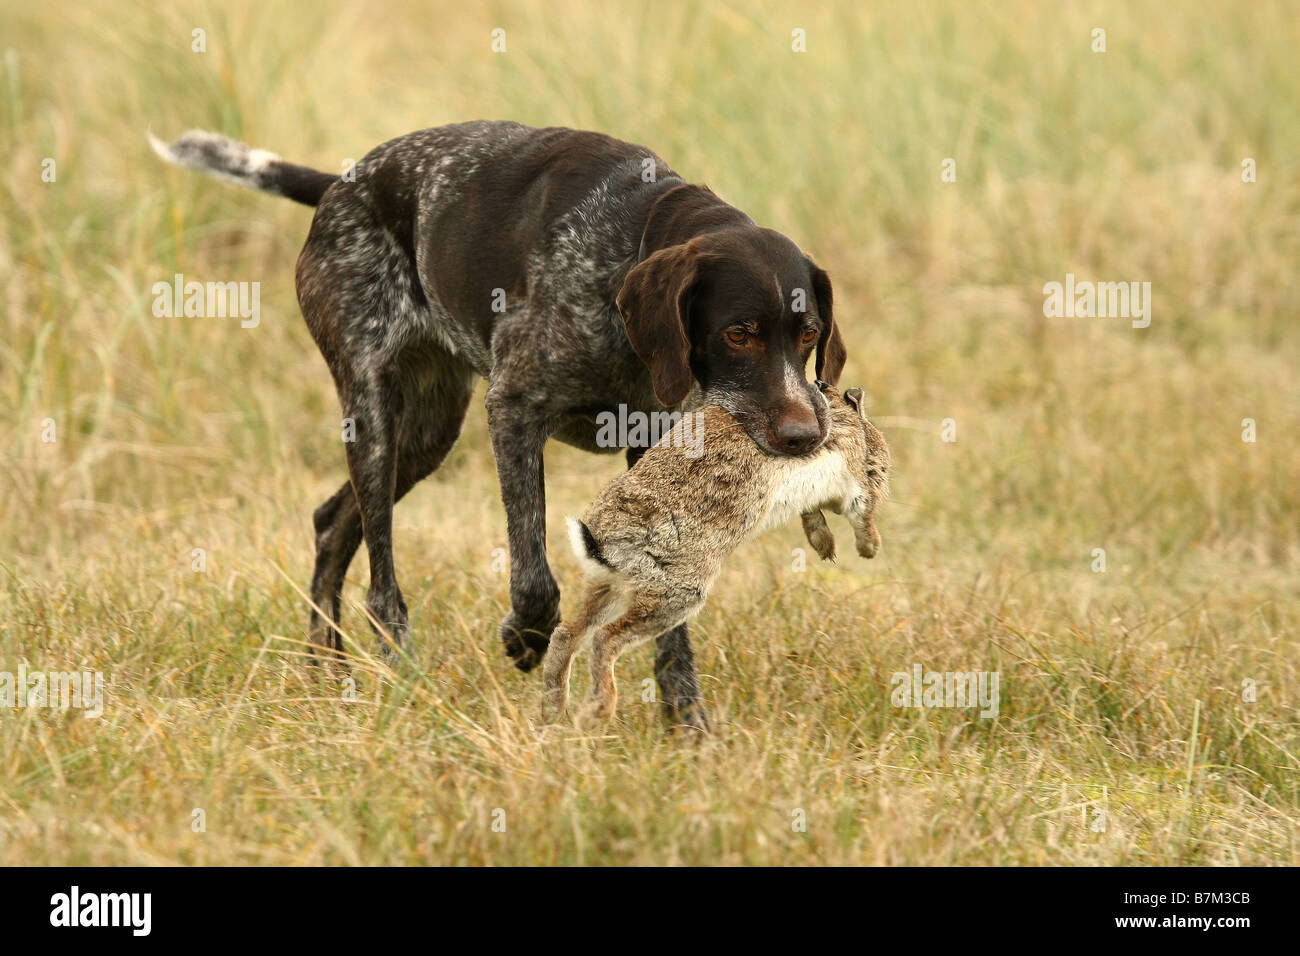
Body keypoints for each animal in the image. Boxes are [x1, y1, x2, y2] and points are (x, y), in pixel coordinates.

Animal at [152, 121, 847, 733]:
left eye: (808, 333)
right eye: (738, 333)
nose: (804, 436)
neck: (628, 241)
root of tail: (344, 183)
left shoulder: (653, 446)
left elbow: (669, 607)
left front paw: (686, 721)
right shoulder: (513, 408)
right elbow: (533, 574)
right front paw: (526, 639)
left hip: (428, 433)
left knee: (332, 524)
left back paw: (327, 669)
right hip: (374, 409)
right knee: (381, 578)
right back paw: (400, 675)